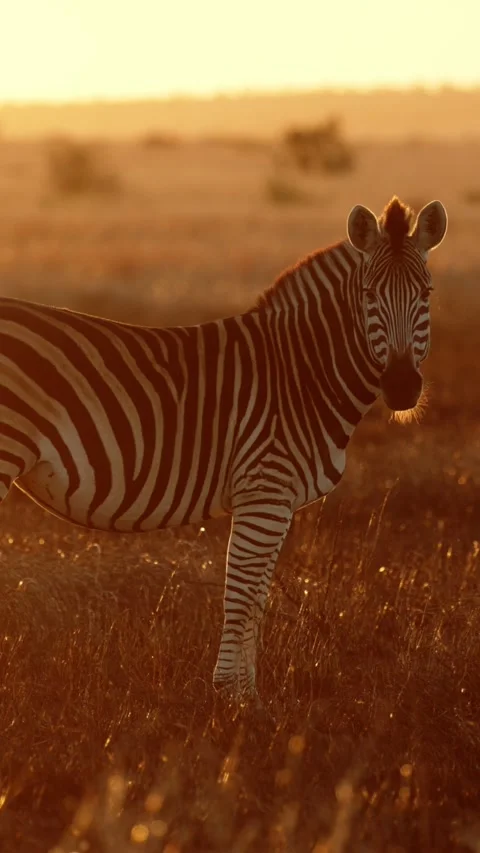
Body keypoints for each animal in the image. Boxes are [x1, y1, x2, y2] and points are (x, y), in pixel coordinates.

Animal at [0, 196, 447, 704]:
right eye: (369, 295)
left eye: (427, 294)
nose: (402, 387)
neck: (302, 373)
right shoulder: (264, 492)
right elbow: (242, 596)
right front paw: (233, 701)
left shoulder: (278, 501)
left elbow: (257, 598)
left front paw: (248, 700)